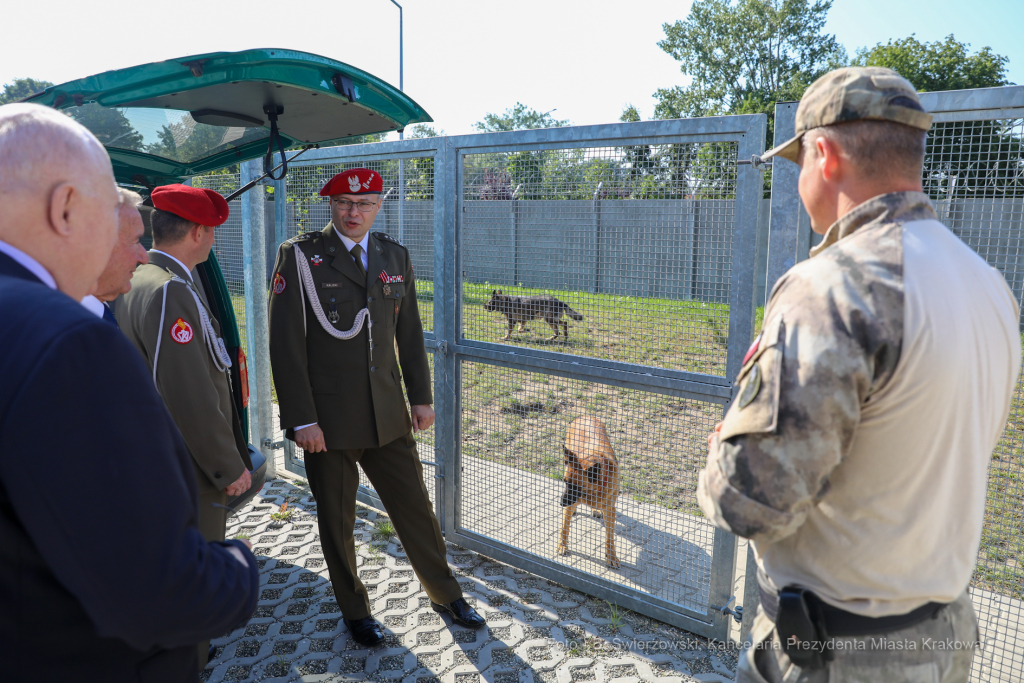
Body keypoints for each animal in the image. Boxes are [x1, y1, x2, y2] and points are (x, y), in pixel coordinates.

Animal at [557, 413, 618, 569]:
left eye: (577, 487)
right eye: (564, 482)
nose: (561, 503)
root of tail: (586, 415)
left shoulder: (610, 510)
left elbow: (610, 536)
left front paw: (611, 556)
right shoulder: (571, 502)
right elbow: (564, 527)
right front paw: (562, 545)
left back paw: (596, 510)